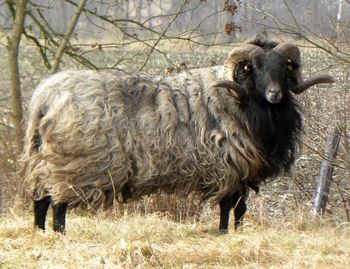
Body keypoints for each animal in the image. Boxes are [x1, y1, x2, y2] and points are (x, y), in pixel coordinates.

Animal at [21, 37, 334, 232]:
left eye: (284, 67)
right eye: (253, 68)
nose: (275, 93)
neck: (239, 100)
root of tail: (45, 95)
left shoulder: (243, 171)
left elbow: (240, 210)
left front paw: (237, 232)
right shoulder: (231, 167)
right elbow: (228, 207)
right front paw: (224, 233)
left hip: (48, 159)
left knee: (41, 198)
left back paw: (40, 233)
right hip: (75, 164)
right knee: (57, 204)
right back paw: (59, 234)